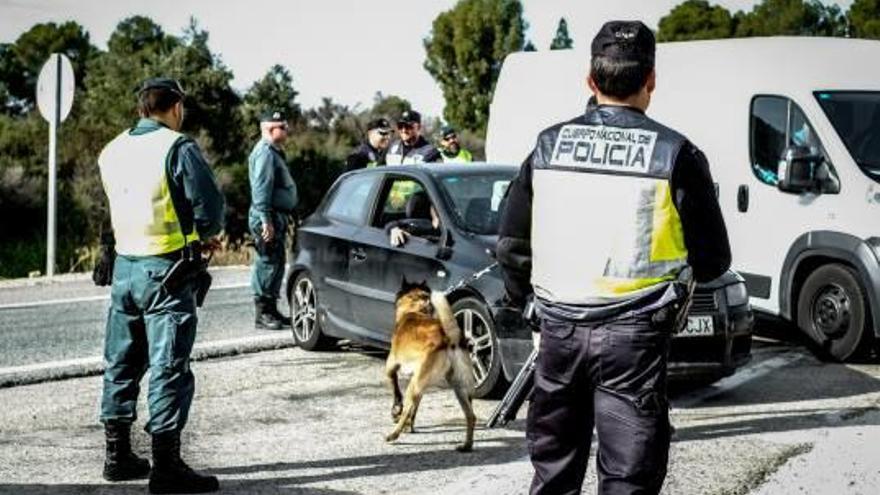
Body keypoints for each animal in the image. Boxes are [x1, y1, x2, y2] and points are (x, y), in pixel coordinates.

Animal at [384, 280, 478, 454]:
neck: (414, 309)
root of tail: (450, 338)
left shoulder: (391, 367)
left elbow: (396, 390)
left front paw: (397, 411)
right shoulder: (419, 383)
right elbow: (415, 408)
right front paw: (410, 426)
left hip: (414, 386)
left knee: (406, 407)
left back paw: (394, 434)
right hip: (459, 387)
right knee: (471, 416)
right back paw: (466, 445)